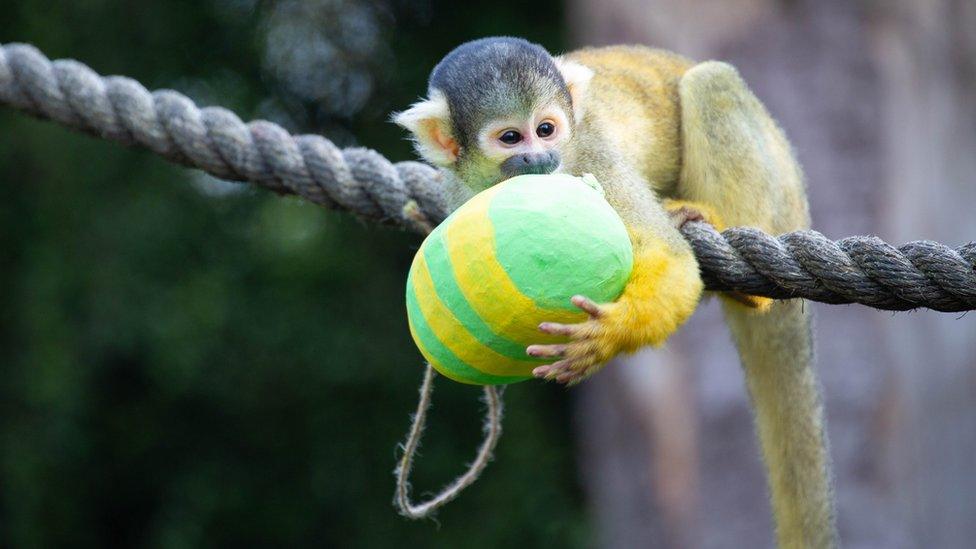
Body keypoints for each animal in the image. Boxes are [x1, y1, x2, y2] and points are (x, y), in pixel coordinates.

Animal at [394, 37, 836, 548]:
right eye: (510, 138)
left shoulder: (593, 154)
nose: (540, 161)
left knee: (711, 84)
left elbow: (669, 257)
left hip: (783, 186)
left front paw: (611, 335)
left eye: (546, 130)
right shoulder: (459, 191)